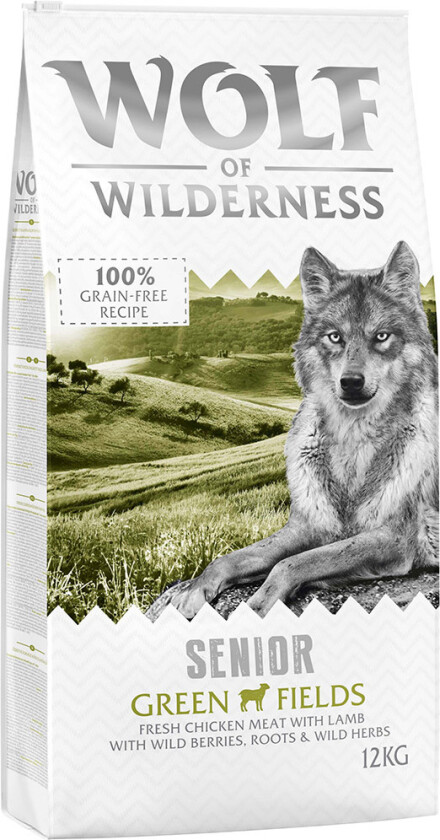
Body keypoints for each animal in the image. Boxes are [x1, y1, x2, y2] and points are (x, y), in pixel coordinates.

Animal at [148, 241, 438, 619]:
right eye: (335, 337)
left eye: (381, 337)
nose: (351, 382)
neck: (352, 441)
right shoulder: (307, 527)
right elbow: (228, 559)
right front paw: (192, 591)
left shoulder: (394, 539)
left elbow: (290, 565)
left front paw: (256, 608)